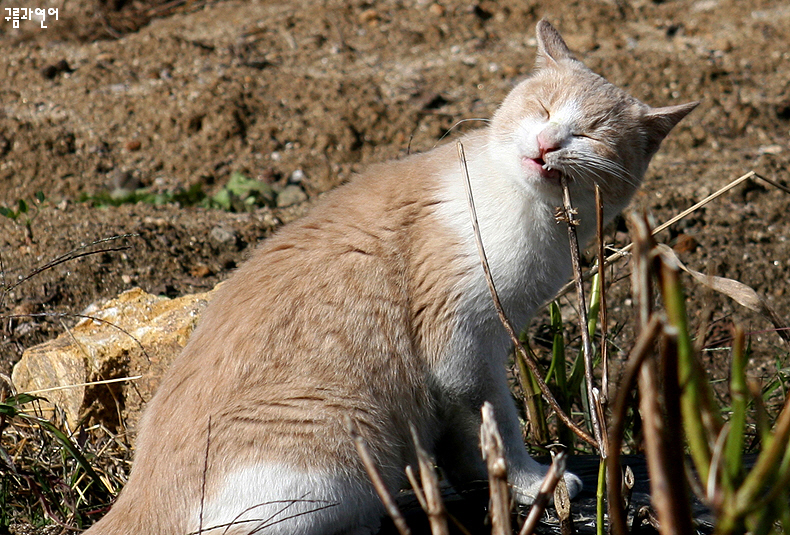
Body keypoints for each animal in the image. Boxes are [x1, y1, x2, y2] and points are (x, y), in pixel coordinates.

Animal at [83, 19, 696, 535]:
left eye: (590, 133)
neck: (530, 212)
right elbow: (497, 424)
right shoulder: (462, 346)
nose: (547, 142)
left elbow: (466, 444)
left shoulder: (476, 352)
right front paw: (530, 482)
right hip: (340, 448)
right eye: (542, 108)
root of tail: (136, 499)